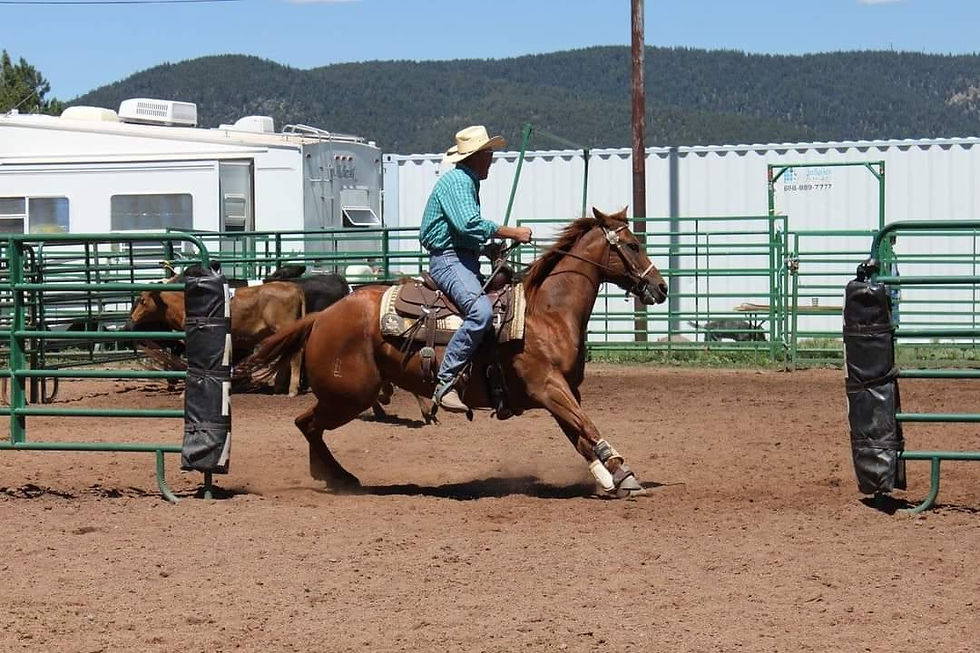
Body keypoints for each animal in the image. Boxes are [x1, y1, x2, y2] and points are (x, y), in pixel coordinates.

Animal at [238, 207, 668, 497]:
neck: (546, 313)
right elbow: (587, 426)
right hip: (348, 395)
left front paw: (610, 476)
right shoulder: (548, 385)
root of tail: (323, 315)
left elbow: (578, 433)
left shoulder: (560, 391)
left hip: (346, 394)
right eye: (633, 245)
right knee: (307, 424)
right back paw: (337, 477)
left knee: (308, 425)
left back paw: (337, 476)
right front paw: (624, 473)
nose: (661, 287)